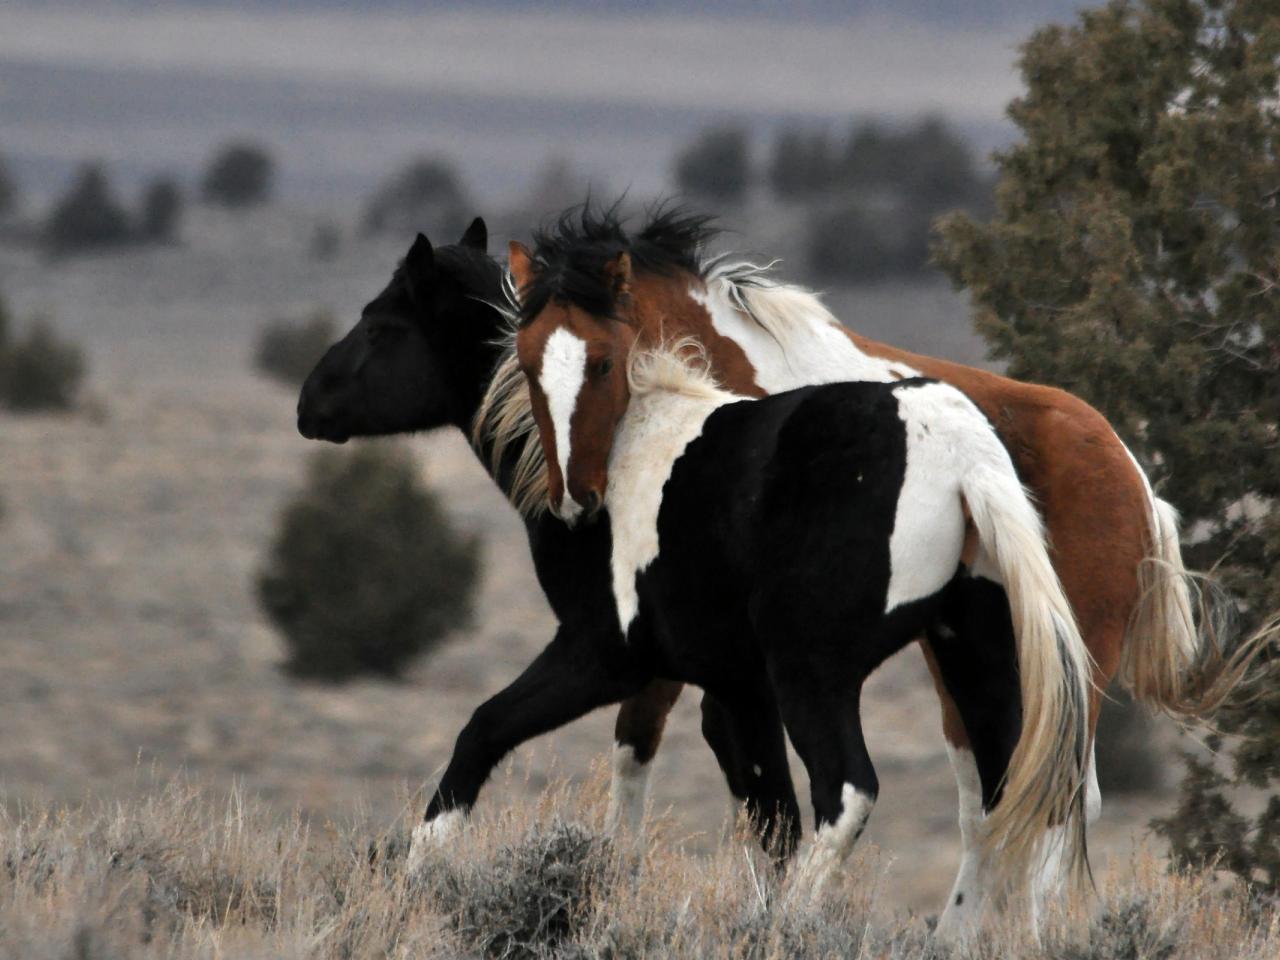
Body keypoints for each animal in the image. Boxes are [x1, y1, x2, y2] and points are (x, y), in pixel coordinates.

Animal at [488, 207, 1259, 936]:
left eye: (601, 363)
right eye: (527, 362)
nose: (574, 498)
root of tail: (1131, 476)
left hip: (1065, 665)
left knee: (1057, 800)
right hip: (971, 661)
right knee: (999, 802)